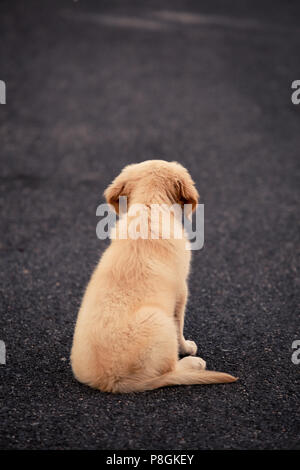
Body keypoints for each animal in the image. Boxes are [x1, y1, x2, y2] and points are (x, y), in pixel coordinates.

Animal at [71, 162, 237, 392]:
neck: (149, 208)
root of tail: (112, 382)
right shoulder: (182, 290)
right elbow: (179, 325)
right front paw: (186, 347)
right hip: (158, 320)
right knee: (169, 368)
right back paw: (193, 363)